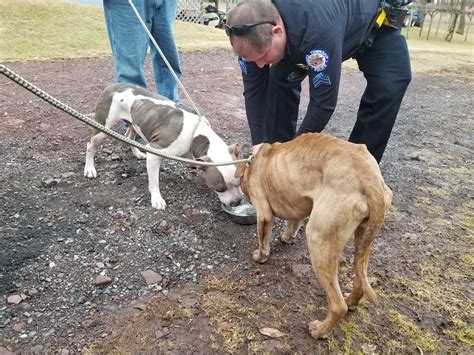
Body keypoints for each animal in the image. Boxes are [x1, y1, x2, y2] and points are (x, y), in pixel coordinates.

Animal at [83, 83, 243, 210]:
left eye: (239, 183)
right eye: (219, 189)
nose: (237, 202)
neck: (195, 132)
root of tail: (112, 85)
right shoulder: (155, 151)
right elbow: (154, 182)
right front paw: (157, 200)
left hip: (135, 122)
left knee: (129, 136)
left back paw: (137, 153)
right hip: (103, 127)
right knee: (91, 145)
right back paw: (89, 169)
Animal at [234, 133, 392, 340]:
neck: (256, 161)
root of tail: (370, 180)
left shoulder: (264, 214)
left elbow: (263, 240)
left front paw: (260, 257)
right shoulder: (298, 206)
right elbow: (294, 222)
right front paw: (287, 237)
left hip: (319, 241)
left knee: (337, 305)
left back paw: (319, 331)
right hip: (363, 240)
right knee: (359, 282)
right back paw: (351, 302)